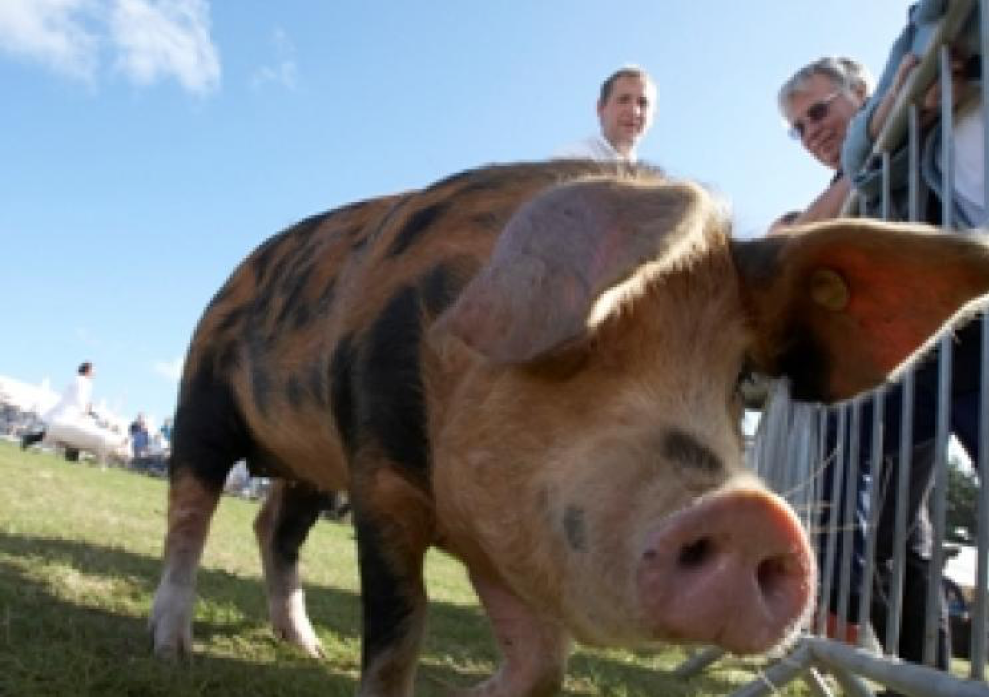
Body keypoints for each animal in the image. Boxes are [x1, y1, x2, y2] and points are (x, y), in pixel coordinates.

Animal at [149, 160, 989, 692]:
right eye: (583, 334)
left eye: (742, 377)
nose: (749, 513)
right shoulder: (381, 477)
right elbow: (398, 634)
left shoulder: (499, 529)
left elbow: (543, 663)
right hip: (204, 394)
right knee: (192, 512)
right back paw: (172, 648)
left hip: (309, 466)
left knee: (274, 530)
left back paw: (306, 644)